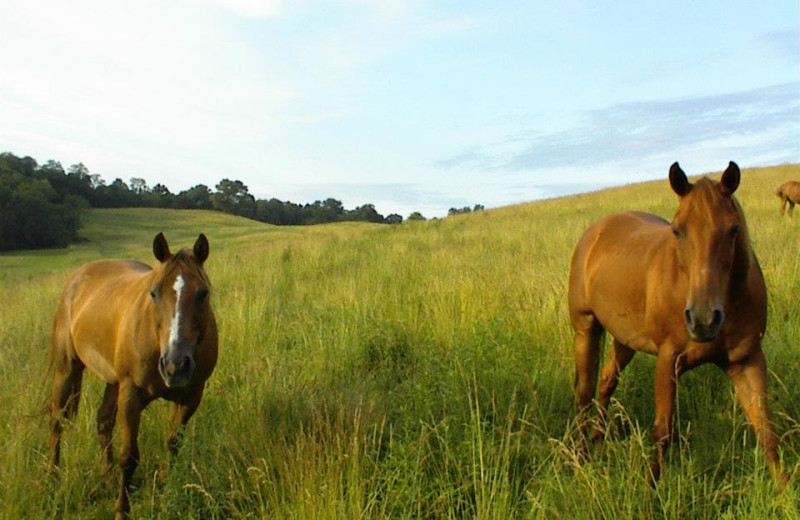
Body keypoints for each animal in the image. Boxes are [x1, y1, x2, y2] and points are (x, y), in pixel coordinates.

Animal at [49, 234, 219, 516]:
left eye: (202, 293)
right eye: (154, 293)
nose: (175, 365)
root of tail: (78, 276)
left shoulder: (191, 397)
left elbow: (173, 443)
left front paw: (167, 490)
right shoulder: (131, 395)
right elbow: (128, 457)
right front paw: (122, 510)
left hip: (112, 380)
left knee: (103, 421)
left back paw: (106, 478)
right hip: (67, 368)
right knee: (56, 421)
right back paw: (52, 476)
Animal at [568, 161, 788, 484]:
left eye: (733, 229)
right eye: (677, 230)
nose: (703, 319)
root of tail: (595, 231)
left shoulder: (747, 360)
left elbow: (766, 429)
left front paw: (784, 491)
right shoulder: (668, 359)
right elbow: (662, 431)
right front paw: (650, 490)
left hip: (625, 339)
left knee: (607, 381)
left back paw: (597, 440)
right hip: (585, 329)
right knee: (585, 392)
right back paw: (581, 457)